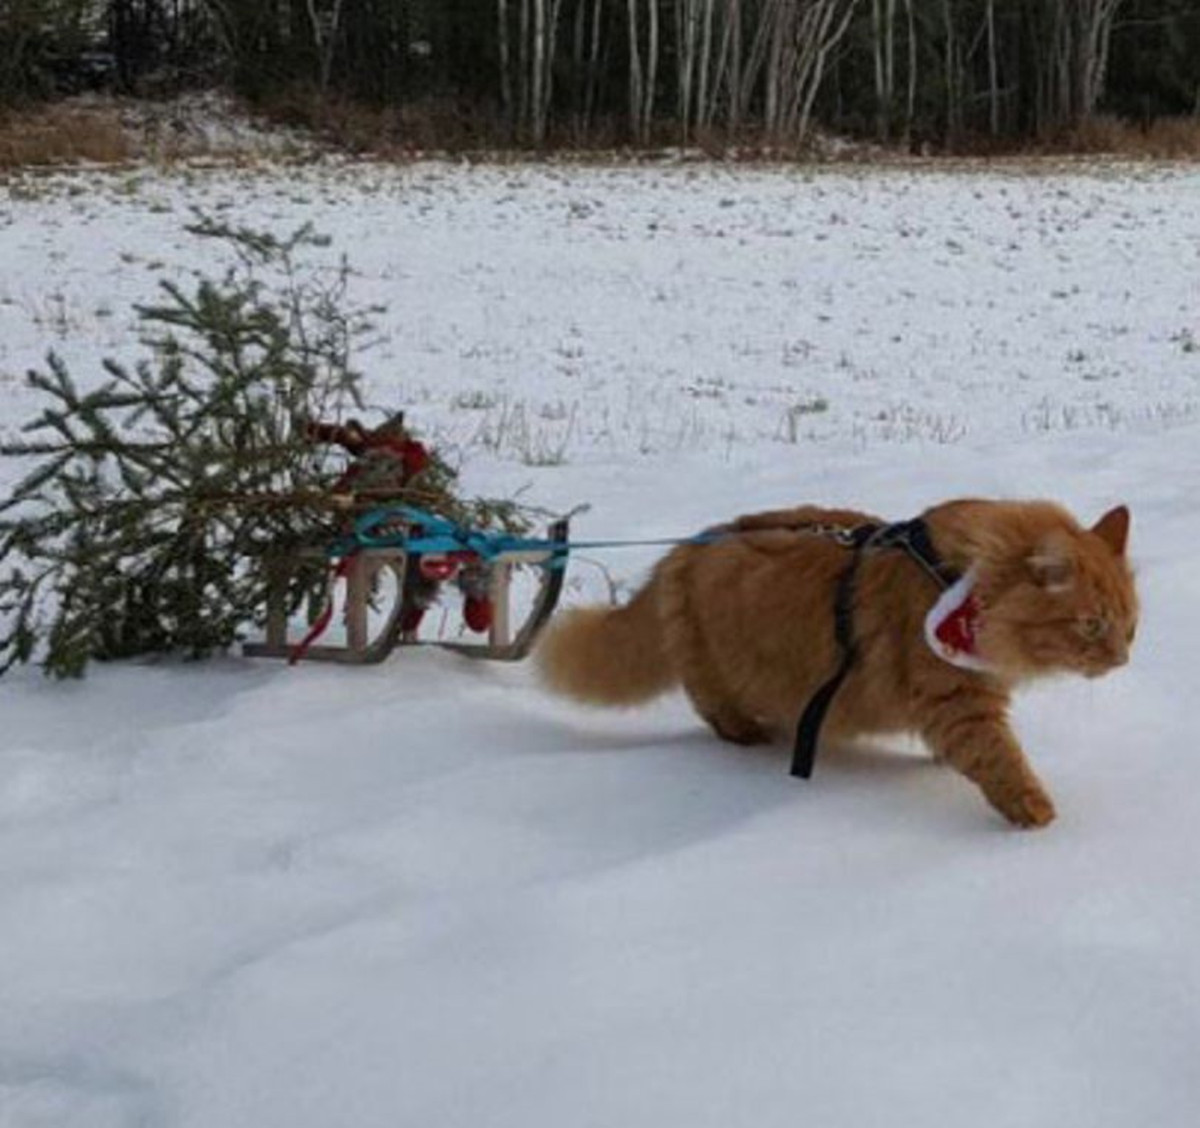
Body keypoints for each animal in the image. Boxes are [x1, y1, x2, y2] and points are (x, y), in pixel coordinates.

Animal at [540, 501, 1137, 830]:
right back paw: (749, 734)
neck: (959, 581)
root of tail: (684, 549)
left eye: (1130, 625)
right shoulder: (957, 701)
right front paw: (1034, 812)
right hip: (716, 669)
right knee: (712, 708)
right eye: (1092, 626)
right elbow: (1000, 760)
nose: (1122, 660)